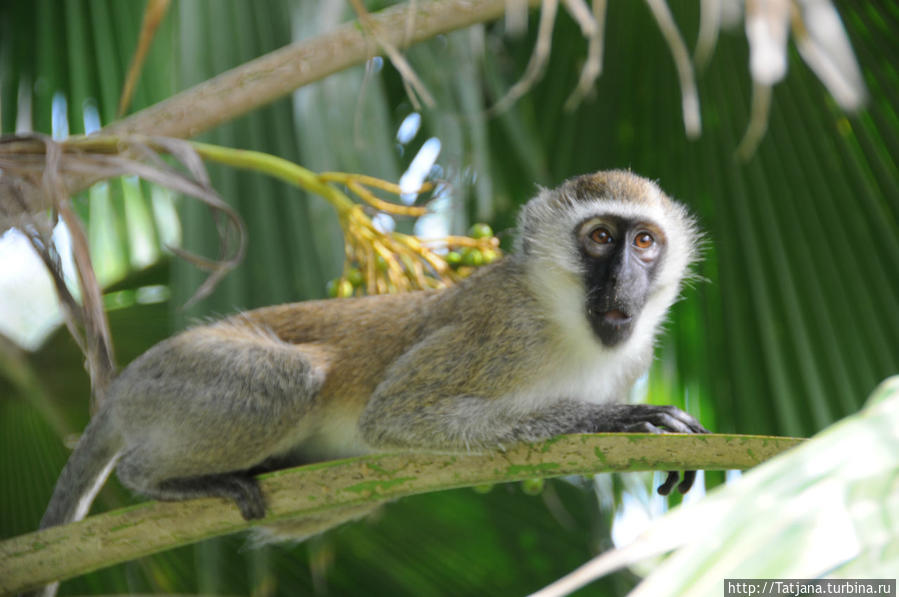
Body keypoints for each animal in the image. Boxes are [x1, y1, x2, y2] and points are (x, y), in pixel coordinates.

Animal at [37, 169, 712, 536]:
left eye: (644, 242)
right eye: (599, 237)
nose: (624, 277)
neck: (564, 320)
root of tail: (125, 384)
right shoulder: (501, 330)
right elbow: (392, 416)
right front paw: (618, 419)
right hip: (178, 375)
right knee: (291, 378)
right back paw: (152, 476)